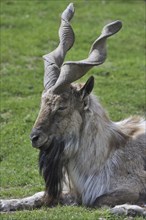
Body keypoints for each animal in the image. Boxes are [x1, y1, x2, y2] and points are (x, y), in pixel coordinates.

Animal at [0, 3, 145, 217]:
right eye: (42, 102)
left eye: (62, 106)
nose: (35, 137)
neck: (101, 157)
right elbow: (37, 196)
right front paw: (5, 203)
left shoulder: (130, 186)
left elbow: (98, 201)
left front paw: (128, 208)